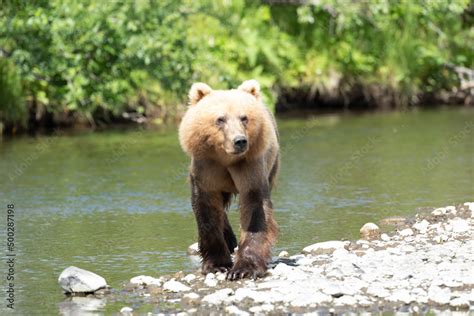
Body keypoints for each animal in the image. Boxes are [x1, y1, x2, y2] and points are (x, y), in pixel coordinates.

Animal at [180, 80, 280, 280]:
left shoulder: (250, 167)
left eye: (244, 117)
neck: (227, 159)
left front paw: (244, 268)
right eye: (220, 119)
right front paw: (217, 265)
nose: (239, 141)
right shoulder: (207, 169)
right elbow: (207, 209)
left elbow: (255, 208)